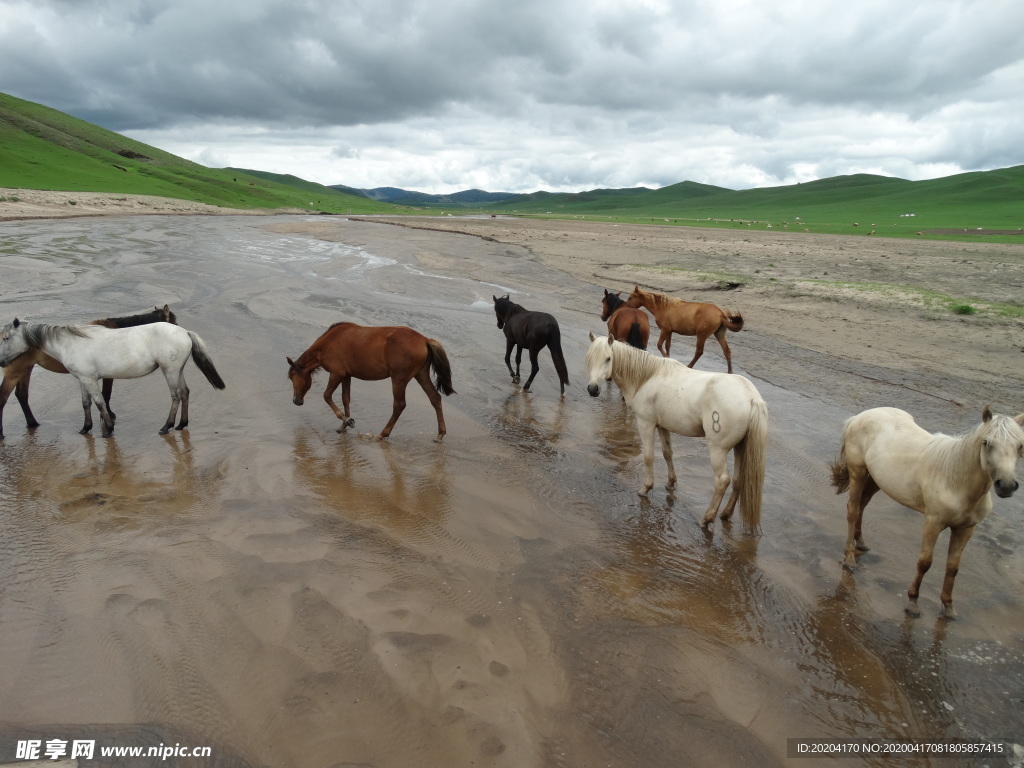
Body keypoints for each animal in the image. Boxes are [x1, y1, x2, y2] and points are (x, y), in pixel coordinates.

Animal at [0, 319, 225, 438]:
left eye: (6, 338)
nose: (1, 362)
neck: (71, 343)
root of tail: (184, 332)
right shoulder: (82, 379)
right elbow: (86, 403)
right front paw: (86, 428)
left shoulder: (90, 380)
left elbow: (100, 403)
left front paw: (108, 429)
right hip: (177, 370)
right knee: (185, 393)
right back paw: (181, 424)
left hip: (169, 371)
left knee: (176, 396)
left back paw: (166, 426)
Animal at [284, 321, 452, 442]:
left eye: (292, 377)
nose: (295, 401)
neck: (328, 343)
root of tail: (424, 340)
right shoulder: (346, 376)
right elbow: (346, 399)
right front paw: (345, 424)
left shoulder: (337, 374)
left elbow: (327, 396)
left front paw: (345, 419)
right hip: (421, 375)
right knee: (435, 398)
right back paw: (440, 434)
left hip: (399, 378)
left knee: (399, 405)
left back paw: (382, 434)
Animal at [585, 333, 770, 532]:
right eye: (590, 358)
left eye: (608, 358)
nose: (593, 389)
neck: (647, 378)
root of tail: (752, 398)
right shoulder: (663, 426)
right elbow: (667, 453)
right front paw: (671, 482)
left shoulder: (646, 424)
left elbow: (648, 457)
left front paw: (646, 488)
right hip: (740, 447)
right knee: (738, 480)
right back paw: (725, 514)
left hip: (718, 449)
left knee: (722, 481)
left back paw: (707, 519)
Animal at [831, 409, 1024, 618]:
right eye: (986, 443)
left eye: (1020, 445)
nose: (1006, 485)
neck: (956, 481)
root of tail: (858, 417)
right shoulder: (933, 523)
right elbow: (925, 562)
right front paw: (913, 602)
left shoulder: (965, 529)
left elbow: (953, 567)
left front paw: (948, 606)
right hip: (857, 472)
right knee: (853, 510)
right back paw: (850, 558)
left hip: (876, 479)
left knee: (862, 505)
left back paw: (861, 542)